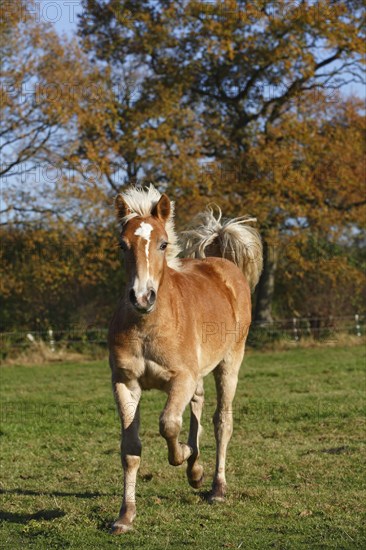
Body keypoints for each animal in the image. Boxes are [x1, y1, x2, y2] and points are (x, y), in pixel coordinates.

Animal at [107, 185, 262, 536]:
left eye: (163, 243)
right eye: (122, 245)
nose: (141, 297)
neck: (148, 325)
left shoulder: (181, 379)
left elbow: (168, 424)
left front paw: (187, 459)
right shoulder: (125, 383)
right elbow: (130, 449)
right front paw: (125, 516)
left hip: (229, 363)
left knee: (222, 421)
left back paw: (216, 487)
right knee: (199, 404)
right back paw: (197, 470)